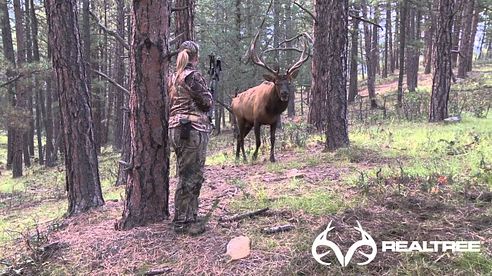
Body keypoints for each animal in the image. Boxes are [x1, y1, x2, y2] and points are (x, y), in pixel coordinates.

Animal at [232, 31, 310, 162]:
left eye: (289, 82)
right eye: (276, 83)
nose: (284, 93)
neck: (271, 110)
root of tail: (232, 101)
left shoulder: (274, 122)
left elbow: (273, 140)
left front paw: (272, 158)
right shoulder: (256, 120)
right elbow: (258, 141)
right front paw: (254, 156)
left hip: (248, 122)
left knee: (238, 136)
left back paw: (237, 157)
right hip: (240, 118)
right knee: (241, 137)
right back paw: (244, 157)